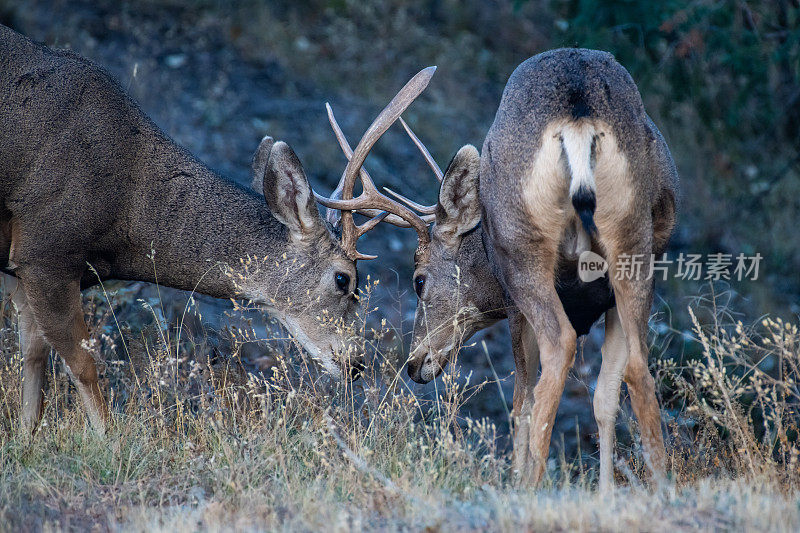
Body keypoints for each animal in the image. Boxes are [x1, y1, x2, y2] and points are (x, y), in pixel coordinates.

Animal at [0, 22, 434, 434]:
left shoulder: (22, 269)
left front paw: (27, 439)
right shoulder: (45, 250)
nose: (356, 362)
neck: (128, 207)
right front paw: (109, 442)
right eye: (344, 279)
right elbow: (83, 365)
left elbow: (33, 363)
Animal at [378, 47, 680, 488]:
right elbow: (604, 398)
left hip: (524, 255)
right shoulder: (609, 300)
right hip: (634, 245)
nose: (414, 364)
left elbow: (521, 400)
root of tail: (578, 119)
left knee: (558, 351)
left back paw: (530, 484)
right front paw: (606, 492)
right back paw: (660, 487)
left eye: (418, 280)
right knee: (639, 369)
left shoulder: (513, 307)